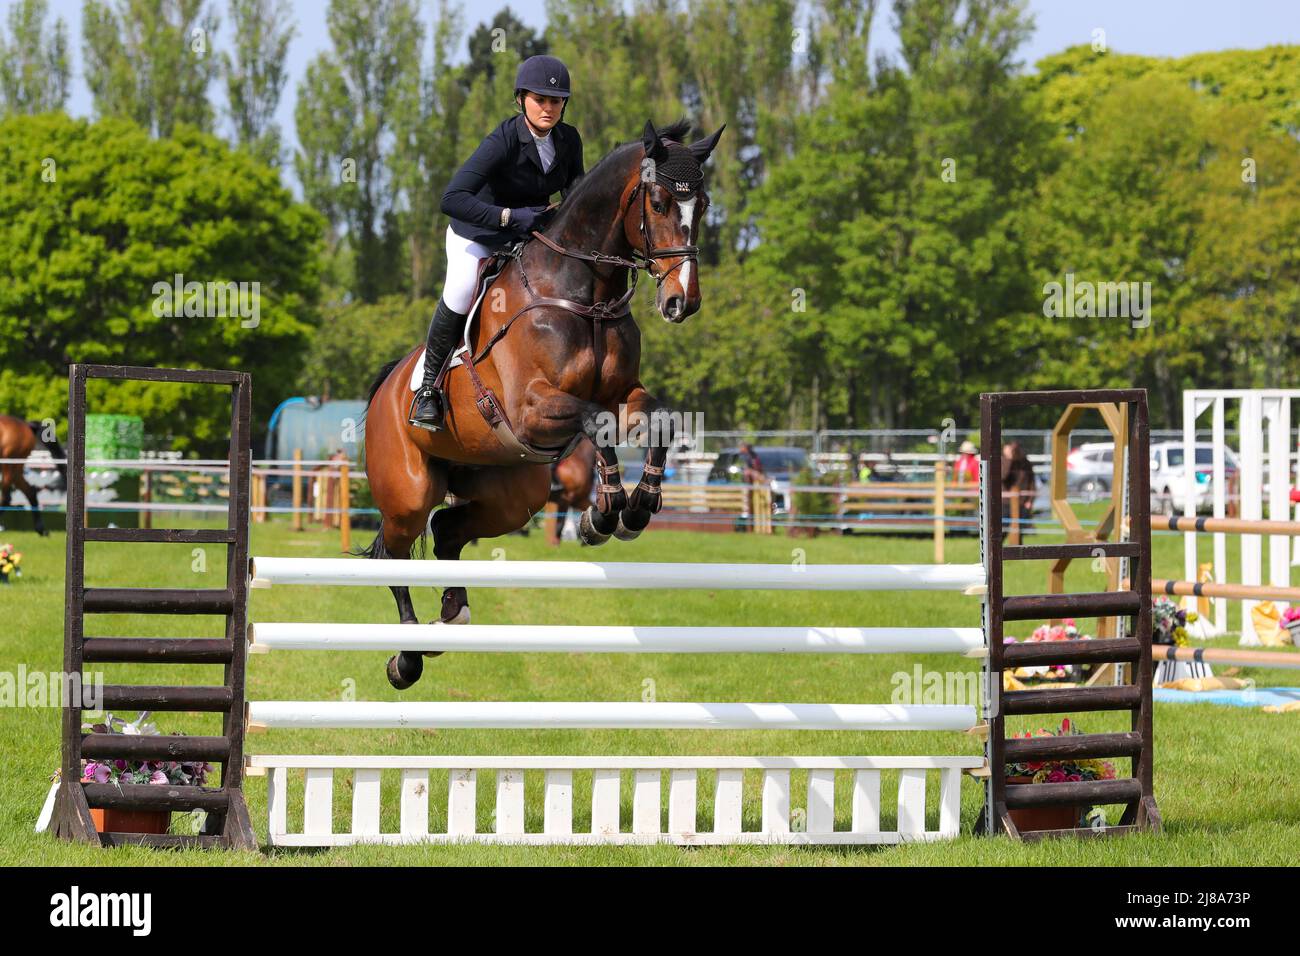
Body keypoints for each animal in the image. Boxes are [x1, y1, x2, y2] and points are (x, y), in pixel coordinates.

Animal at [361, 119, 722, 686]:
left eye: (702, 204)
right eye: (661, 202)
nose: (680, 302)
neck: (585, 293)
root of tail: (385, 388)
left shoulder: (625, 395)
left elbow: (659, 419)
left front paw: (636, 508)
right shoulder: (532, 408)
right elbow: (594, 421)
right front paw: (605, 512)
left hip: (512, 495)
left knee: (446, 531)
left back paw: (452, 614)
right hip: (410, 489)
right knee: (394, 551)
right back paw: (408, 656)